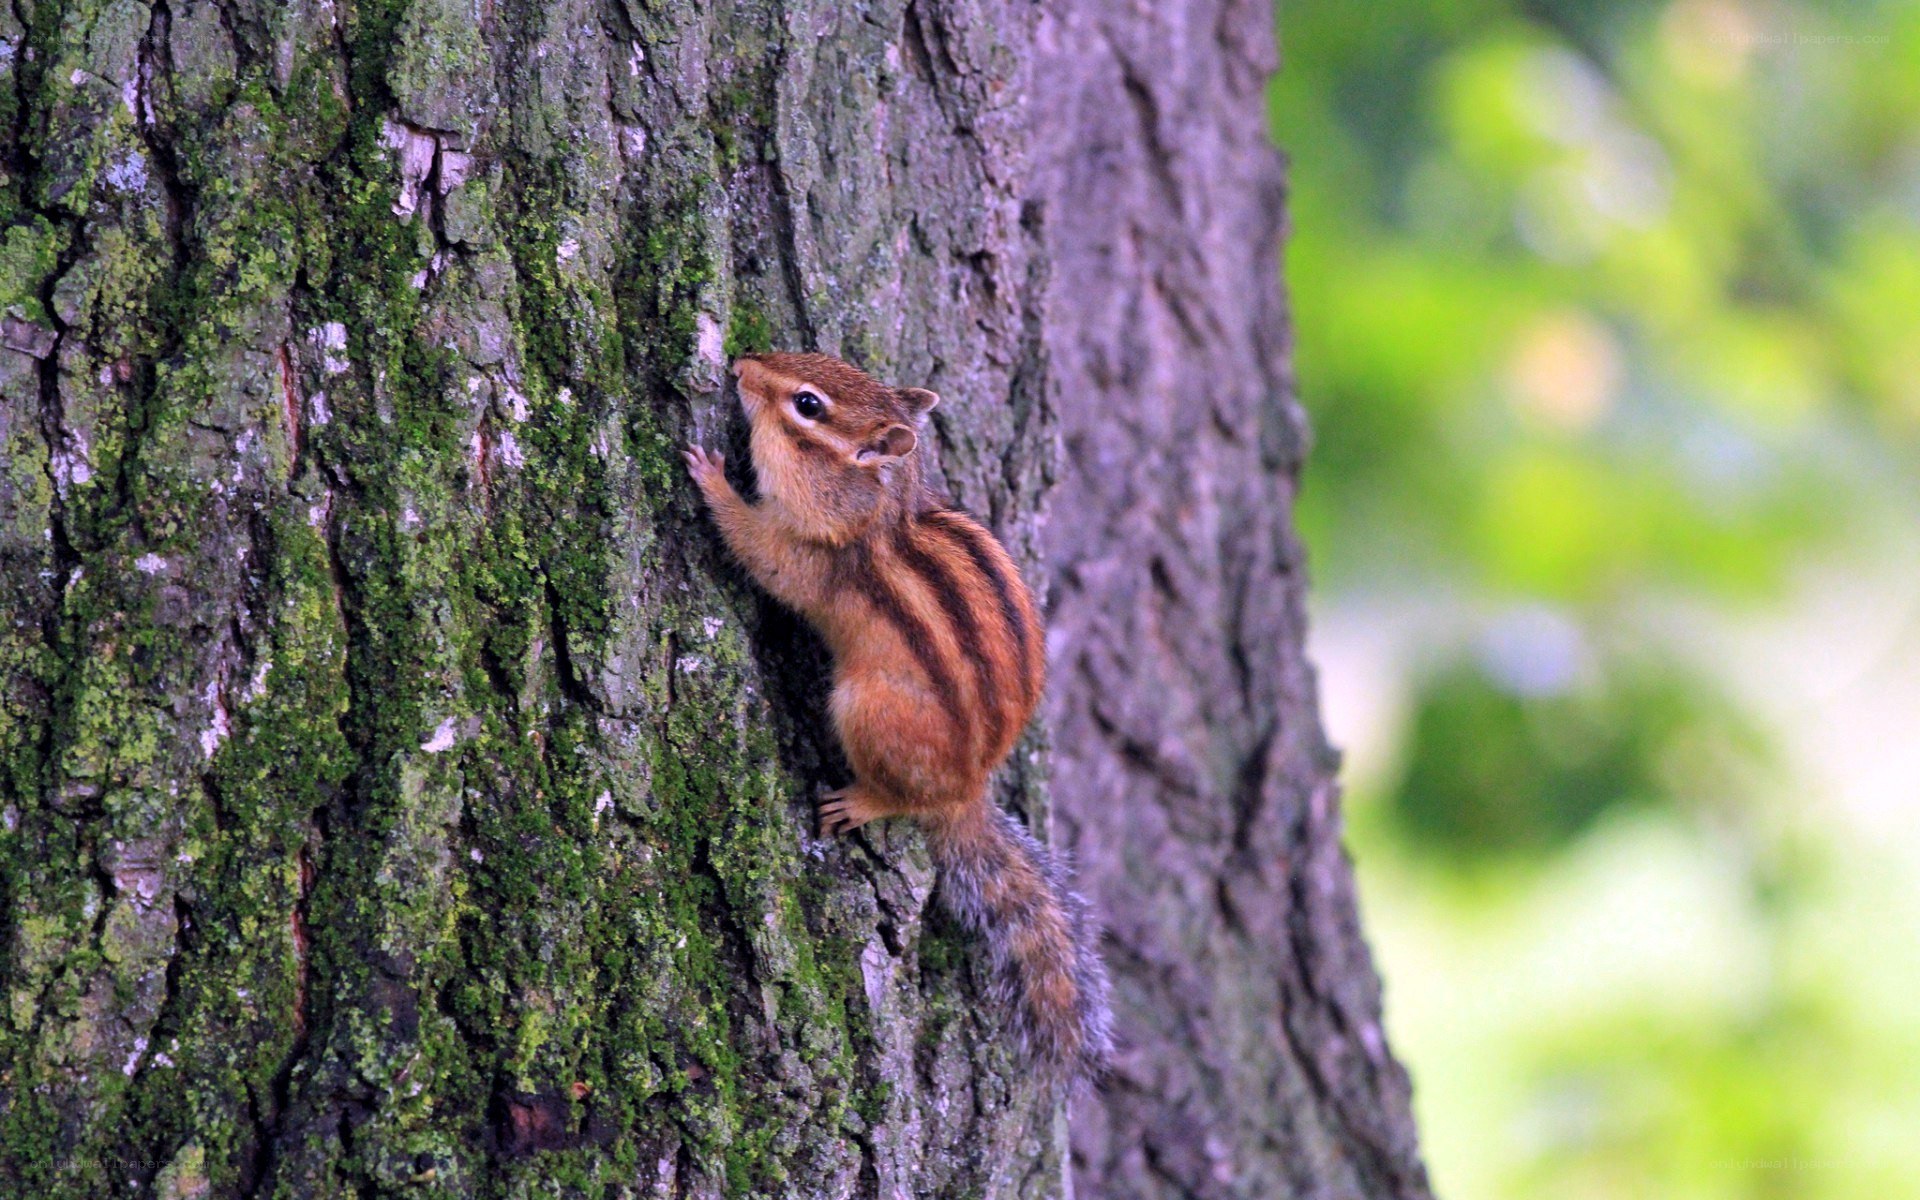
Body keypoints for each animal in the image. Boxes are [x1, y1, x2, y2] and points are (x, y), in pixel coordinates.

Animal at [685, 351, 1112, 1086]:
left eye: (807, 405)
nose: (740, 365)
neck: (882, 511)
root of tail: (965, 792)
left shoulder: (810, 556)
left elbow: (760, 552)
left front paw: (712, 478)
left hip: (866, 710)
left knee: (898, 797)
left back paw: (859, 802)